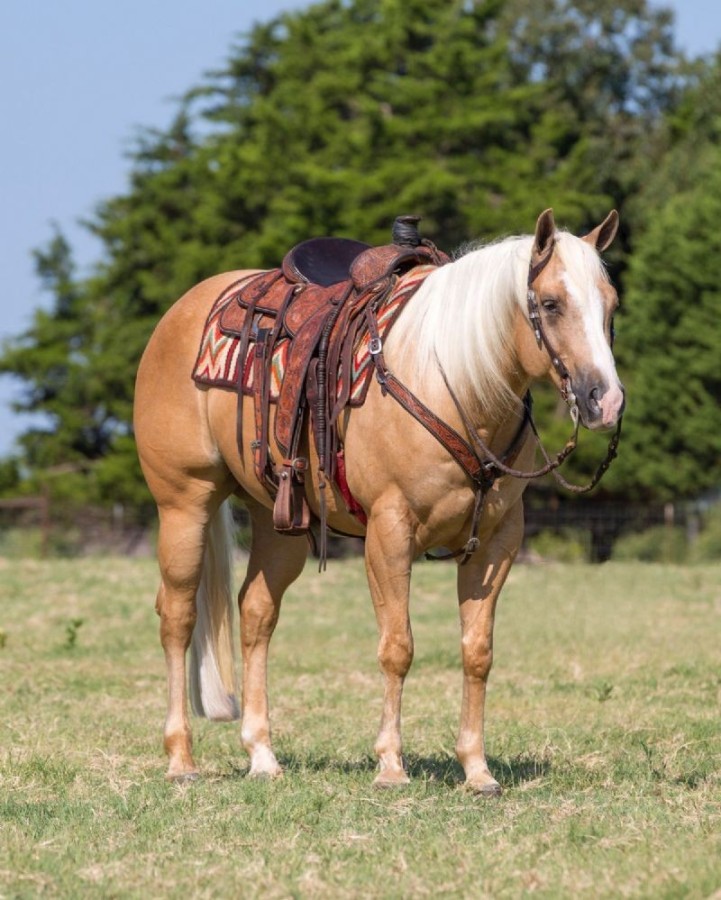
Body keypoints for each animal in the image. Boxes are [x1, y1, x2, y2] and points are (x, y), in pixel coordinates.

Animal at [133, 208, 624, 794]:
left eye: (611, 302)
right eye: (550, 303)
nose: (605, 400)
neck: (451, 381)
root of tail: (186, 308)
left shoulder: (497, 542)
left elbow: (477, 652)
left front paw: (476, 768)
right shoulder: (390, 532)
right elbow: (398, 647)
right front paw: (390, 765)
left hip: (279, 521)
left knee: (255, 614)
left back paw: (262, 754)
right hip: (185, 504)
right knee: (177, 616)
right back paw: (180, 758)